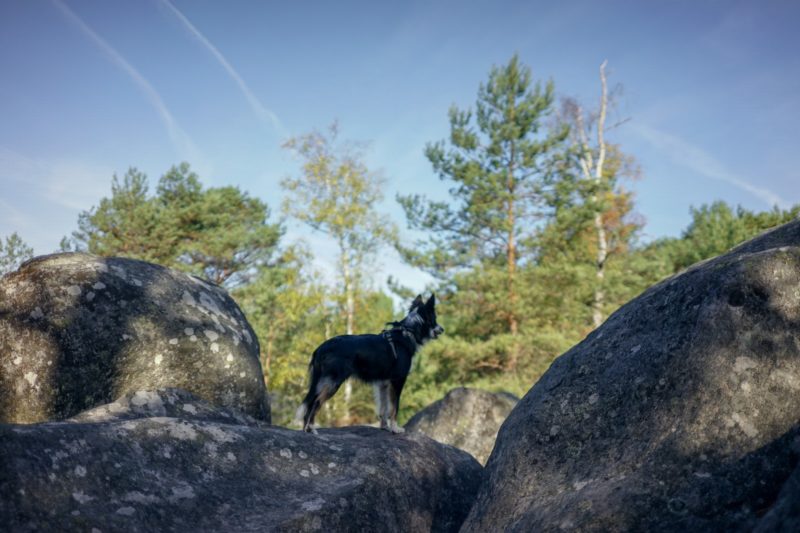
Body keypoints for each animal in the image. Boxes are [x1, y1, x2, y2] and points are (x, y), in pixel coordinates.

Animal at [296, 294, 444, 434]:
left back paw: (306, 430)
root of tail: (321, 348)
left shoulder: (383, 383)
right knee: (316, 402)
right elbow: (394, 407)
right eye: (434, 318)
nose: (442, 329)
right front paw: (395, 428)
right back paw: (312, 428)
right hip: (333, 382)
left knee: (310, 402)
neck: (408, 332)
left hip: (321, 381)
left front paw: (385, 427)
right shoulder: (397, 380)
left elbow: (384, 407)